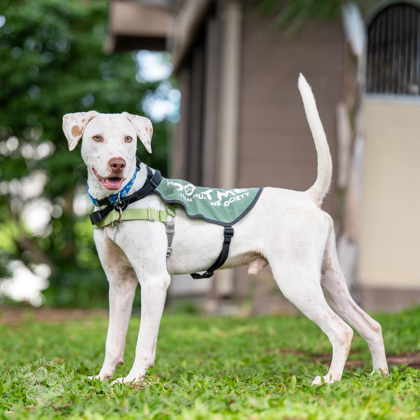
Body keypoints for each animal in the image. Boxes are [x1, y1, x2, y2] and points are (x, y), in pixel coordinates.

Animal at [62, 74, 388, 385]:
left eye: (129, 138)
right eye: (97, 137)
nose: (117, 164)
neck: (124, 198)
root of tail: (307, 197)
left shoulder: (154, 281)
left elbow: (143, 341)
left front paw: (131, 380)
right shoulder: (120, 283)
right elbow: (113, 340)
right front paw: (102, 378)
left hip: (296, 281)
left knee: (342, 331)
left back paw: (330, 380)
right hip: (330, 282)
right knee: (370, 325)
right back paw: (380, 374)